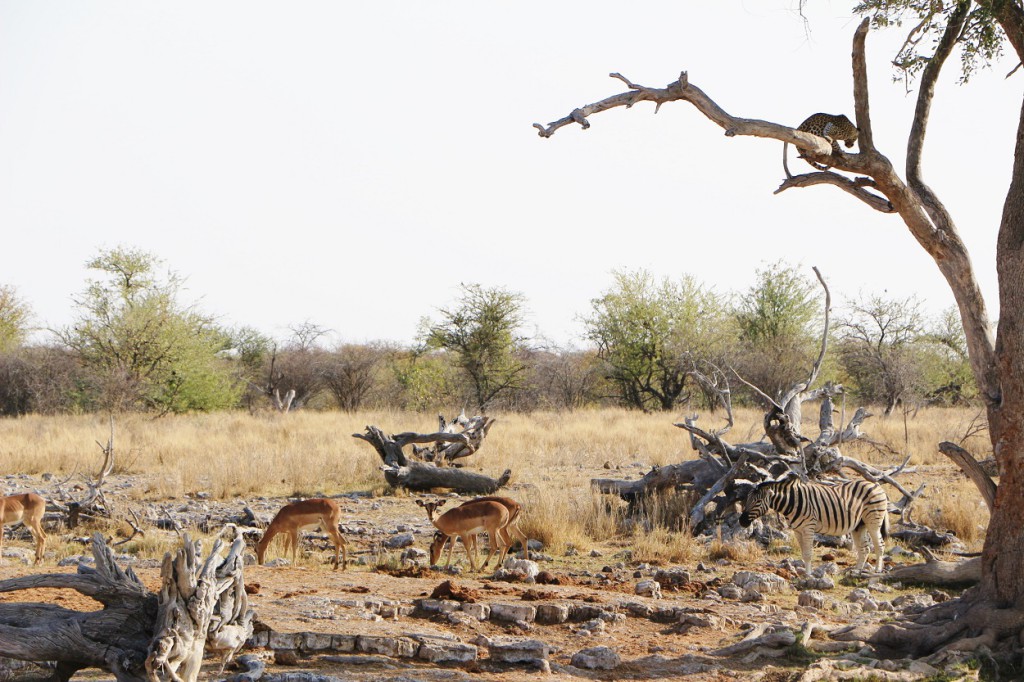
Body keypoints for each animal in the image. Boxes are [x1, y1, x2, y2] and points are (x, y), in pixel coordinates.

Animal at [737, 475, 888, 569]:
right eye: (747, 499)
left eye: (757, 501)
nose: (741, 521)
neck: (793, 502)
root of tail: (876, 485)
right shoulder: (797, 530)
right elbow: (804, 554)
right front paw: (805, 575)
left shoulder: (808, 527)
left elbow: (808, 554)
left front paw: (809, 577)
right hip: (859, 525)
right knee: (865, 548)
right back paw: (857, 571)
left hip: (873, 520)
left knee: (879, 545)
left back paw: (877, 571)